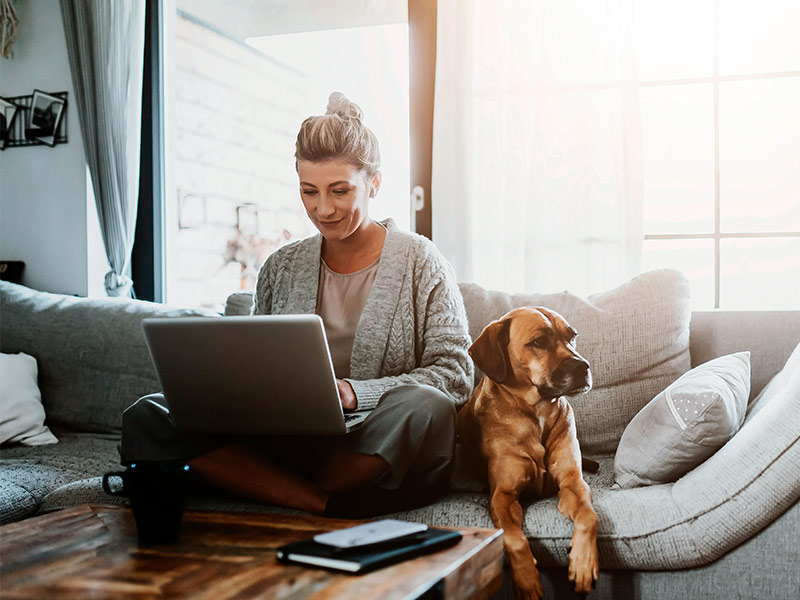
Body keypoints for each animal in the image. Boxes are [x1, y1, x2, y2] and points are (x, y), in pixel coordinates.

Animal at [456, 308, 600, 596]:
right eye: (539, 342)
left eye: (572, 337)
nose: (584, 367)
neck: (537, 412)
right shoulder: (503, 496)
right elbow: (513, 538)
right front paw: (526, 579)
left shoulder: (573, 483)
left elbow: (590, 517)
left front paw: (583, 562)